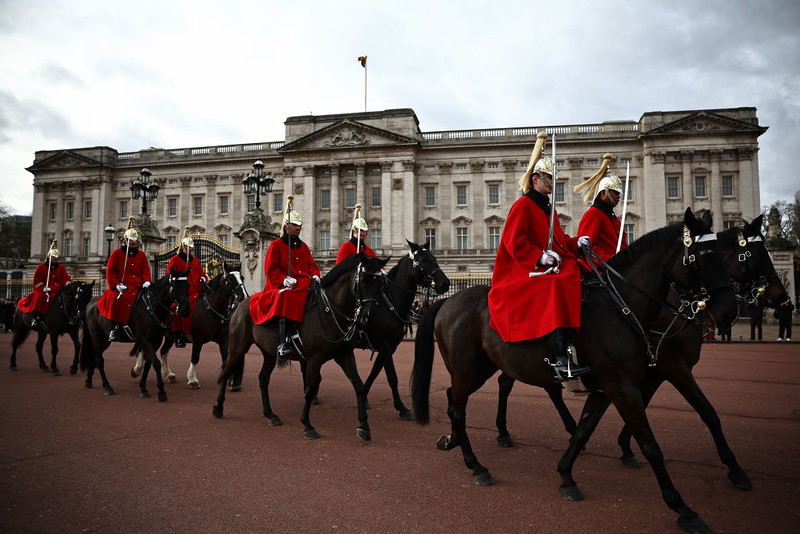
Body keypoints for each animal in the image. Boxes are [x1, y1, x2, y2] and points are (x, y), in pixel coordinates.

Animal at [79, 272, 191, 402]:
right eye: (176, 286)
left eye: (188, 285)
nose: (186, 311)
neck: (151, 307)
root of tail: (91, 302)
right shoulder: (143, 340)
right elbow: (156, 363)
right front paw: (161, 392)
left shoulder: (156, 341)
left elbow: (149, 364)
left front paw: (143, 388)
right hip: (96, 336)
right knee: (99, 359)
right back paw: (107, 386)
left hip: (105, 340)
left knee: (94, 356)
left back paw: (88, 380)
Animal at [211, 253, 390, 442]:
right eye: (363, 280)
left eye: (380, 284)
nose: (368, 317)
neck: (330, 311)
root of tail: (242, 303)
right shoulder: (314, 359)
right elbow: (309, 390)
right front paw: (307, 425)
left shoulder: (345, 355)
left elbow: (359, 386)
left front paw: (364, 426)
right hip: (238, 348)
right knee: (226, 371)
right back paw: (218, 407)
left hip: (269, 354)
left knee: (263, 379)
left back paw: (270, 414)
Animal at [356, 241, 450, 420]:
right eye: (423, 260)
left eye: (435, 258)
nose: (445, 283)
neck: (388, 304)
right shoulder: (384, 345)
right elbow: (392, 377)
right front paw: (402, 408)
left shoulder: (389, 347)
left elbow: (375, 371)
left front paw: (363, 396)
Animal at [412, 209, 736, 534]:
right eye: (703, 255)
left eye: (724, 254)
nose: (727, 313)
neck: (621, 307)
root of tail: (448, 301)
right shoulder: (628, 386)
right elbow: (651, 445)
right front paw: (683, 508)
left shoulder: (610, 387)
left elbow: (584, 429)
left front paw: (566, 476)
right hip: (468, 369)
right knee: (459, 409)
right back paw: (476, 465)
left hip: (481, 369)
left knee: (455, 398)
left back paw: (454, 441)